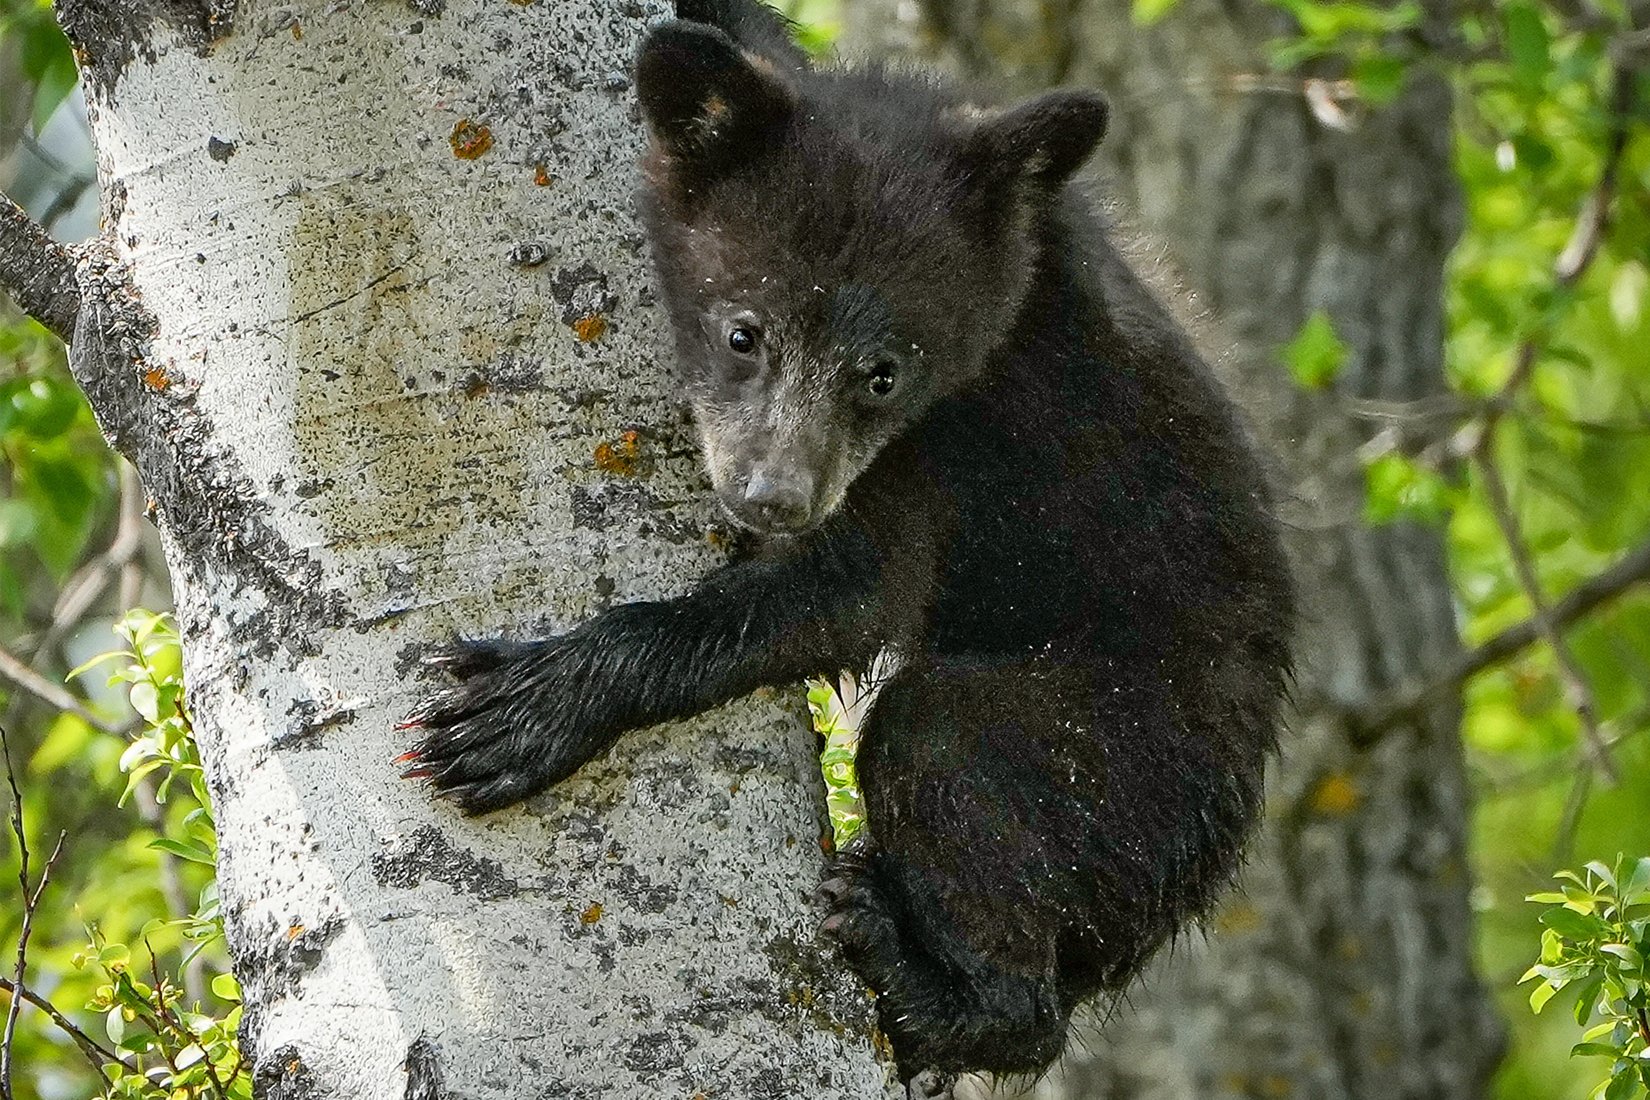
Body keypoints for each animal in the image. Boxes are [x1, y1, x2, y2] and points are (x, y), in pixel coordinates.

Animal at [401, 0, 1295, 1089]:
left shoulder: (950, 441)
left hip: (1131, 743)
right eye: (744, 332)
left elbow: (853, 589)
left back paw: (919, 970)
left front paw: (530, 705)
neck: (1021, 297)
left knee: (951, 745)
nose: (772, 497)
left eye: (885, 372)